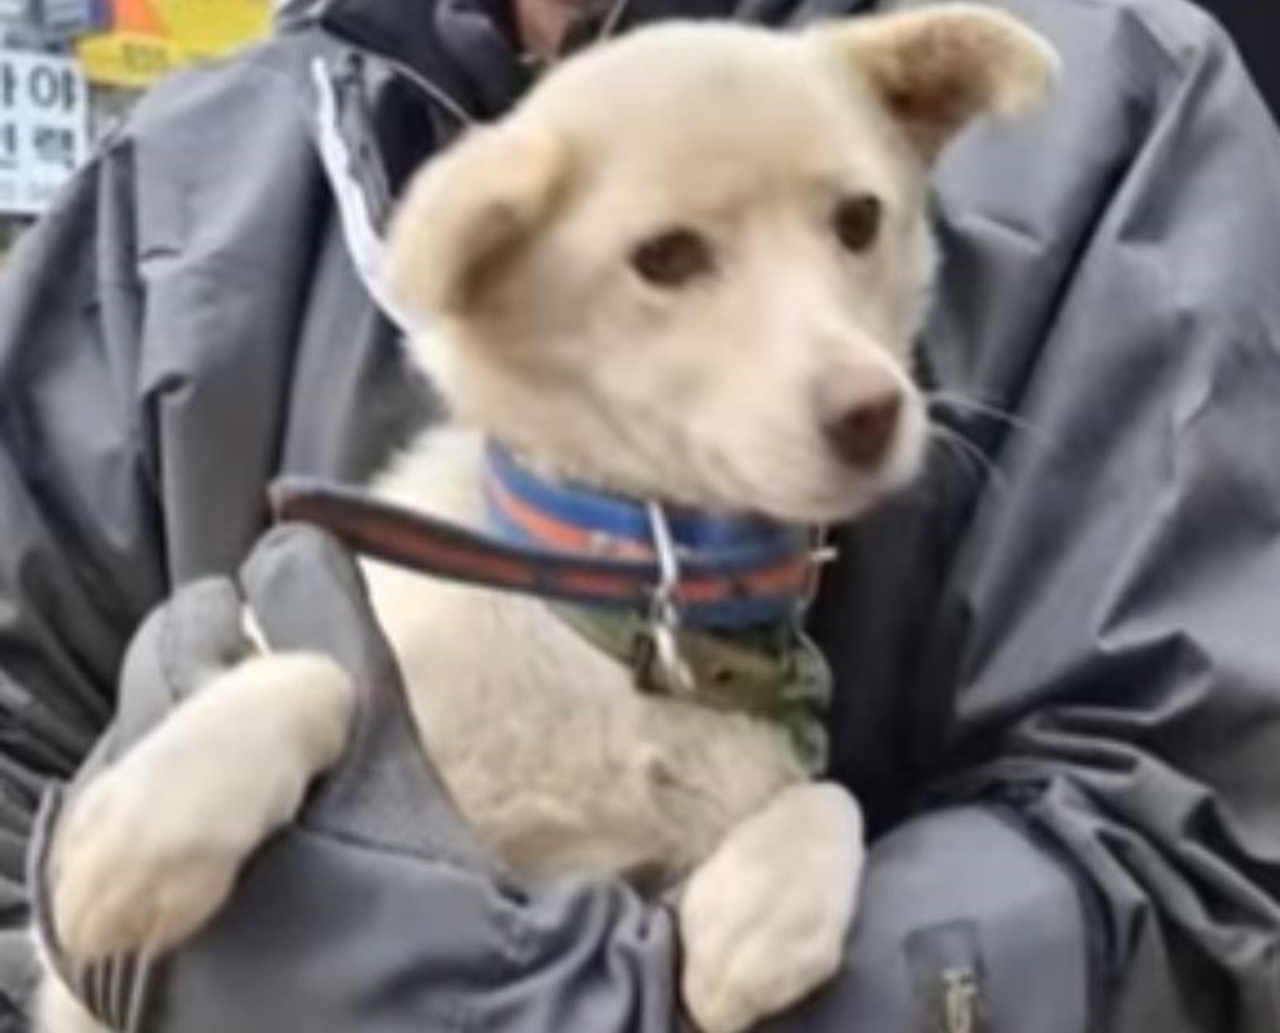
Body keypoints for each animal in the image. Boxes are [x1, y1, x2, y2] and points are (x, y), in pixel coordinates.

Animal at [35, 10, 1054, 1033]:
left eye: (859, 220)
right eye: (664, 256)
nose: (871, 413)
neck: (627, 602)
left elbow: (831, 794)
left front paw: (764, 914)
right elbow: (318, 669)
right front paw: (145, 832)